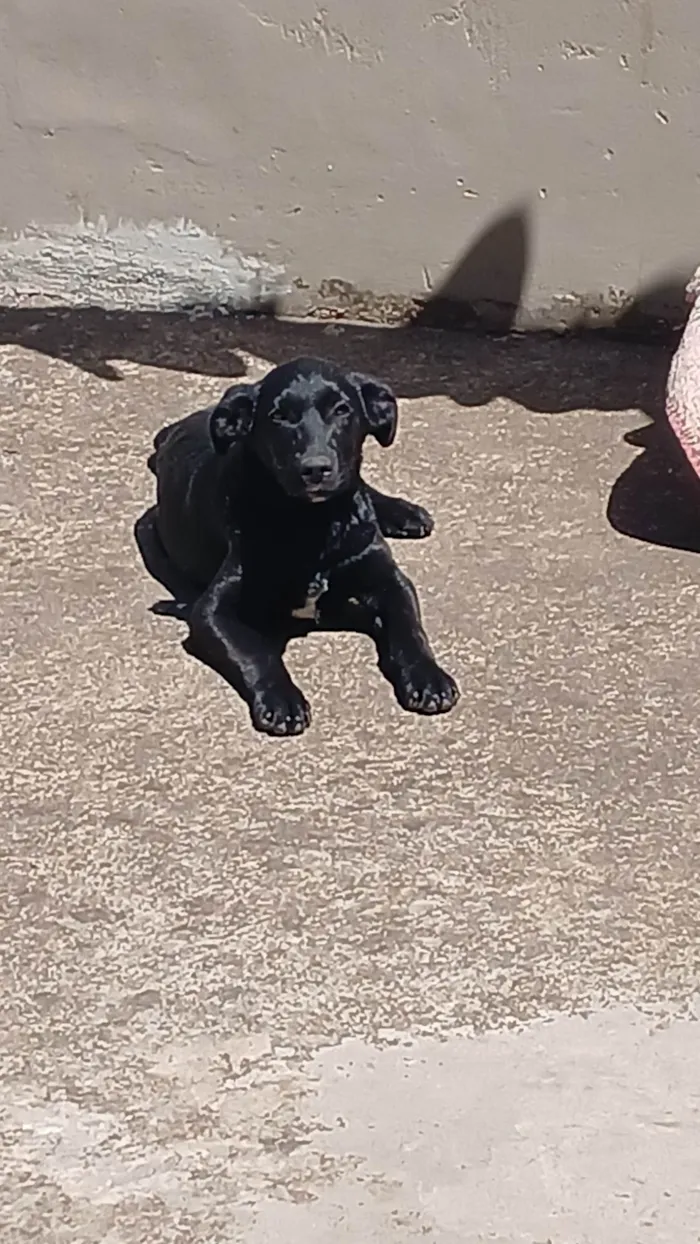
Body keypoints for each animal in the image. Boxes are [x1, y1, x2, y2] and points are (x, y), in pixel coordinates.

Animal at [140, 355, 460, 731]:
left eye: (342, 410)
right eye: (278, 416)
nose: (315, 468)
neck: (313, 525)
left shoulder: (391, 581)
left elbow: (409, 630)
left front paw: (428, 677)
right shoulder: (212, 612)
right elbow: (256, 652)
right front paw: (281, 699)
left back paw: (403, 512)